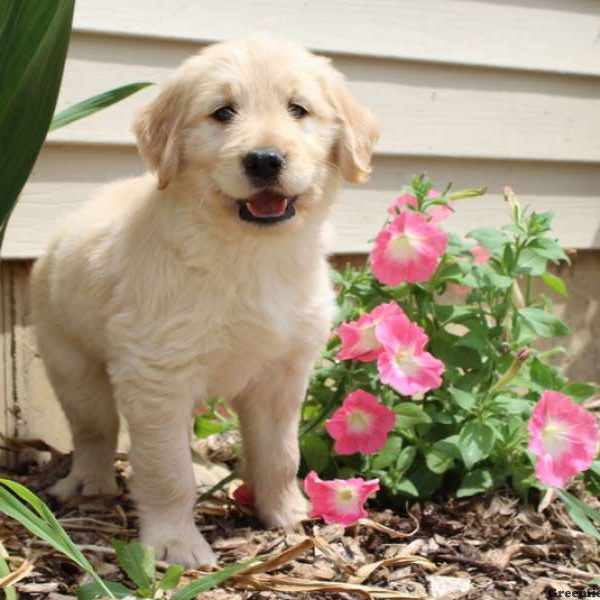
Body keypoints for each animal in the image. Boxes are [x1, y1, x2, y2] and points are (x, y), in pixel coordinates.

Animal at [30, 38, 378, 568]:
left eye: (298, 109)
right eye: (223, 112)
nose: (264, 159)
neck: (251, 253)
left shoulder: (282, 376)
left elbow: (281, 455)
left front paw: (287, 512)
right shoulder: (156, 375)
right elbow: (166, 470)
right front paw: (175, 543)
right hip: (73, 361)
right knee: (94, 431)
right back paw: (89, 482)